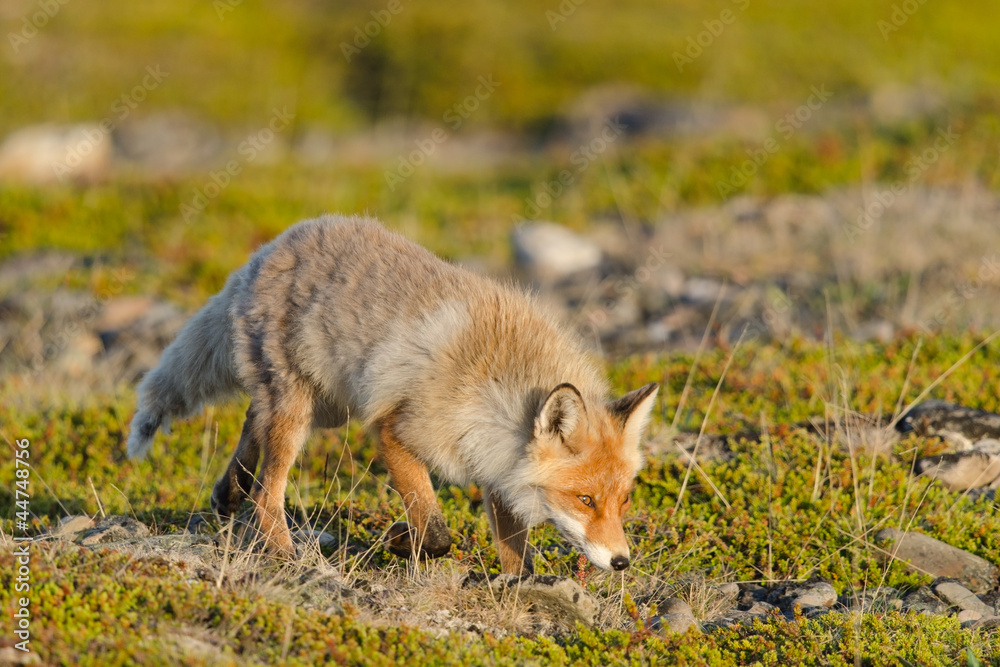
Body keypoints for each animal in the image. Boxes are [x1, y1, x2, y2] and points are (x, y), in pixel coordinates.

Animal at [127, 215, 659, 574]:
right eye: (585, 499)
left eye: (625, 500)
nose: (622, 562)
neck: (496, 391)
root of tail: (272, 247)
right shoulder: (395, 430)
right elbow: (436, 530)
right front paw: (407, 543)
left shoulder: (497, 463)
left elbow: (516, 554)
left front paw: (516, 590)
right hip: (300, 413)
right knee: (266, 495)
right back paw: (285, 555)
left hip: (324, 408)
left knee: (251, 421)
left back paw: (228, 491)